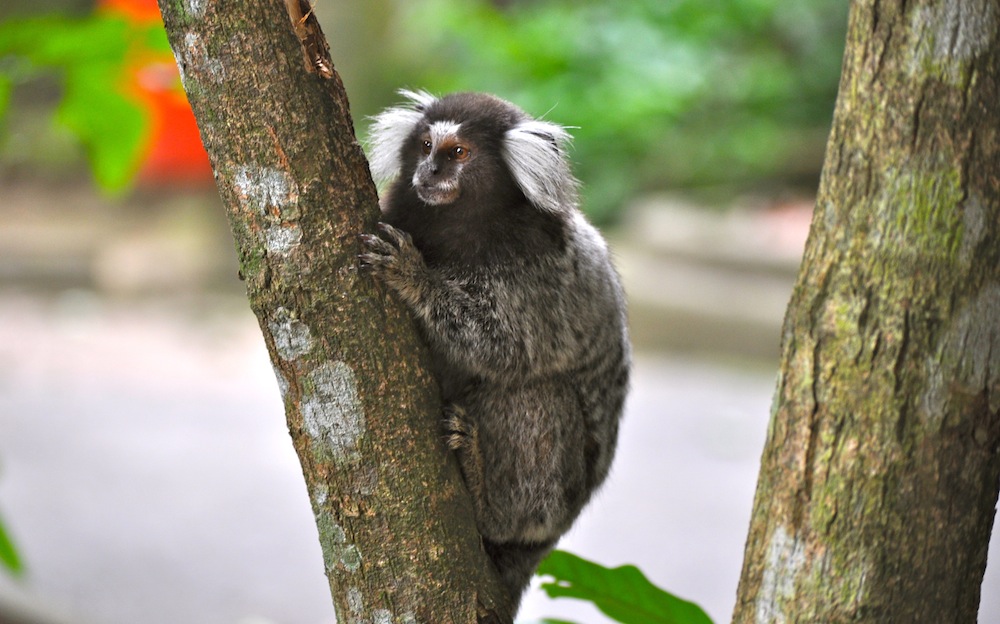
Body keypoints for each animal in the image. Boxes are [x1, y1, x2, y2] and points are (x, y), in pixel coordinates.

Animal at [360, 91, 628, 608]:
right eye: (425, 146)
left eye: (459, 153)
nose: (429, 172)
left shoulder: (534, 269)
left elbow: (505, 348)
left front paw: (415, 277)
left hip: (552, 503)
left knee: (536, 394)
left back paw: (481, 490)